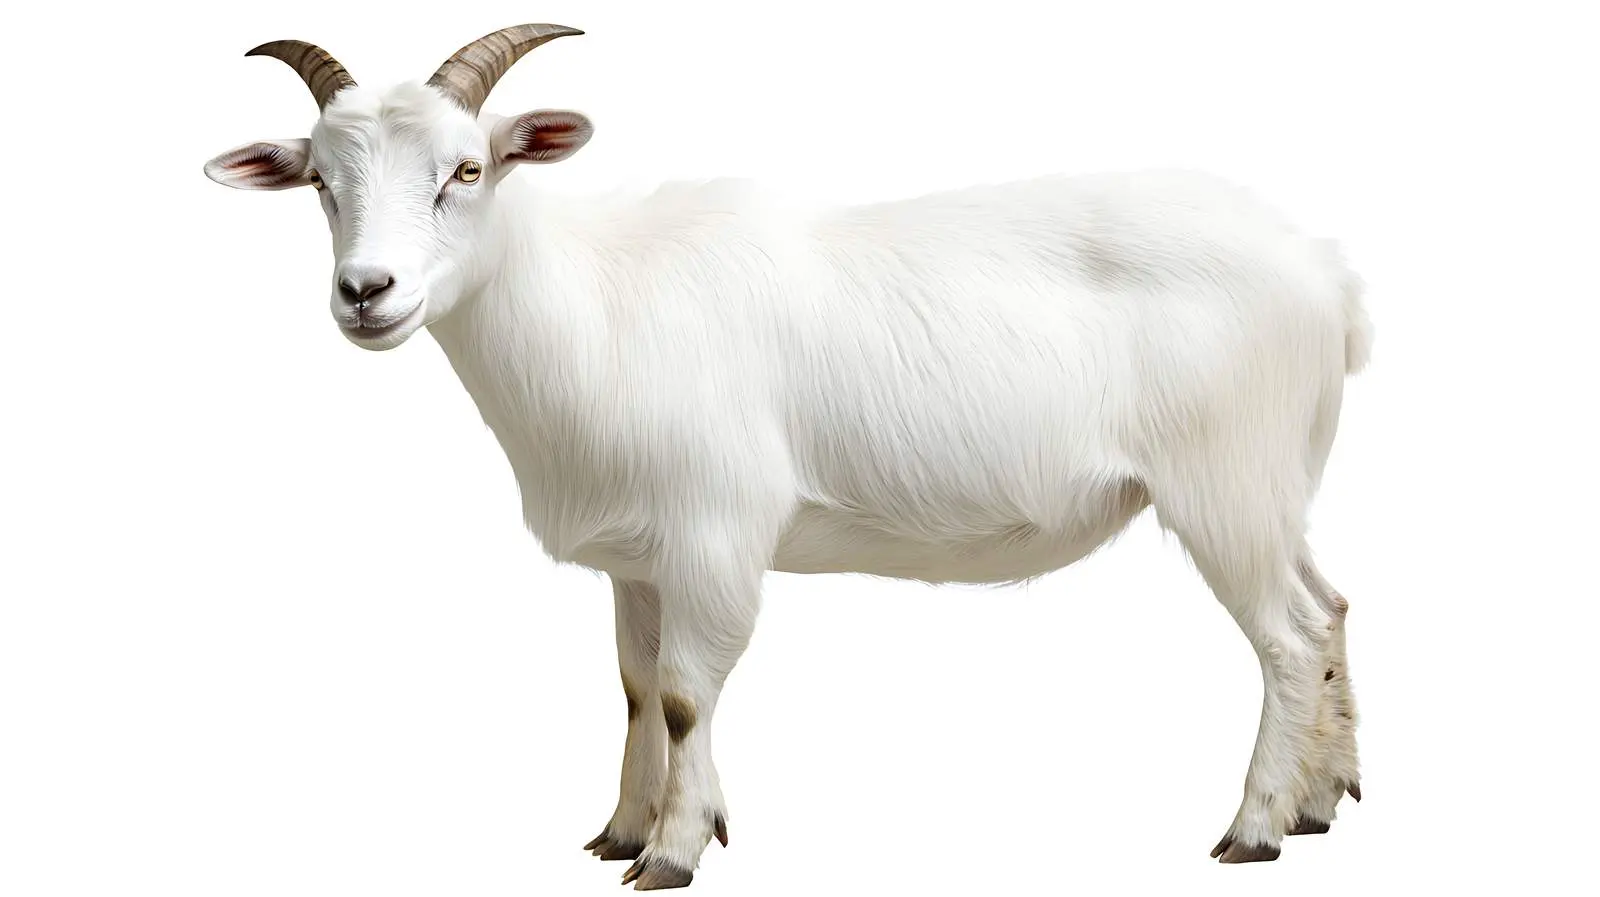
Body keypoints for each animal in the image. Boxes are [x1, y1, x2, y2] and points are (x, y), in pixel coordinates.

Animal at [205, 24, 1372, 890]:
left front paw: (674, 852)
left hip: (1223, 478)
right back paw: (1323, 801)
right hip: (1277, 482)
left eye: (469, 168)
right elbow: (634, 688)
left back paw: (1255, 828)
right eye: (320, 182)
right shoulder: (641, 558)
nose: (366, 293)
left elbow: (686, 693)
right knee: (1329, 610)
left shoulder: (715, 525)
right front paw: (624, 828)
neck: (592, 304)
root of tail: (1324, 273)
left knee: (1285, 634)